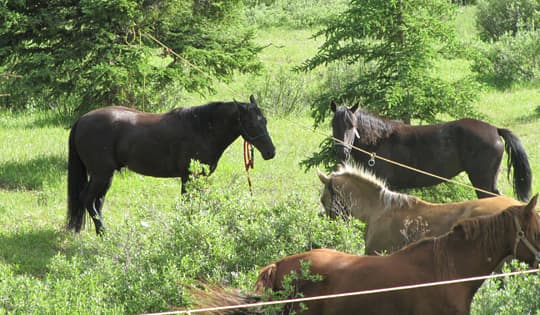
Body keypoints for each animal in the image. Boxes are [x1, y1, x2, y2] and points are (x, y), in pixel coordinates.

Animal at [330, 102, 532, 202]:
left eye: (352, 125)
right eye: (333, 125)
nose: (341, 153)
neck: (379, 140)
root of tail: (495, 130)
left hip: (482, 181)